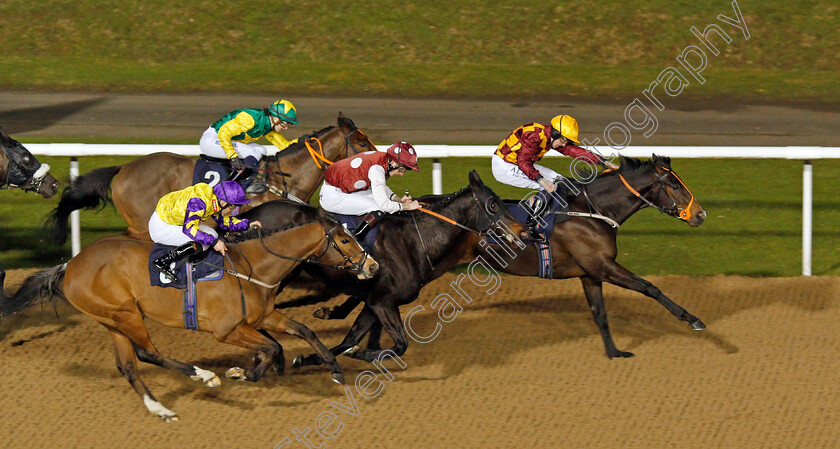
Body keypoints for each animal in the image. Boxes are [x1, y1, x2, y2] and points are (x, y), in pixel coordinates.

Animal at [0, 203, 378, 420]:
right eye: (346, 240)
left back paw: (161, 409)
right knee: (147, 353)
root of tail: (70, 265)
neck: (253, 266)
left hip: (111, 320)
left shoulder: (263, 317)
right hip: (125, 314)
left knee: (128, 366)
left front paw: (334, 370)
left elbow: (303, 331)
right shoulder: (227, 330)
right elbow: (272, 346)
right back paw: (203, 375)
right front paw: (243, 374)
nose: (372, 266)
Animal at [238, 170, 524, 366]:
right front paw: (360, 353)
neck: (414, 241)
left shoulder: (375, 301)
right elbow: (399, 345)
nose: (524, 230)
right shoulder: (382, 301)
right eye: (493, 204)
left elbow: (350, 339)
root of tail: (250, 215)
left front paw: (313, 358)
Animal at [316, 156, 708, 358]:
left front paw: (614, 352)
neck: (591, 211)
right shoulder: (604, 266)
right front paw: (693, 319)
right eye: (675, 184)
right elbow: (650, 288)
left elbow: (600, 314)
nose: (701, 215)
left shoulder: (590, 273)